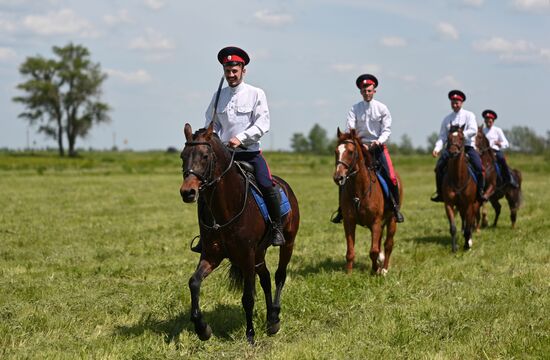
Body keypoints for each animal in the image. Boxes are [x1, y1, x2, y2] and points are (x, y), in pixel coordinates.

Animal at [180, 122, 302, 344]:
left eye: (205, 156)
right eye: (183, 156)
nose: (188, 192)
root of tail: (284, 186)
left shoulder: (246, 256)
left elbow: (247, 297)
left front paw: (250, 335)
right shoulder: (212, 255)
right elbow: (194, 282)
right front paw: (202, 329)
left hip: (287, 243)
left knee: (279, 275)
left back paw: (275, 318)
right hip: (259, 253)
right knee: (266, 278)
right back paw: (270, 319)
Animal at [334, 129, 404, 276]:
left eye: (350, 152)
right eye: (336, 151)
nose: (338, 177)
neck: (359, 191)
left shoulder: (375, 222)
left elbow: (374, 251)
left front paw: (375, 270)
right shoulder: (349, 222)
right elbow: (350, 251)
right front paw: (349, 274)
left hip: (391, 220)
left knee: (388, 244)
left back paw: (384, 269)